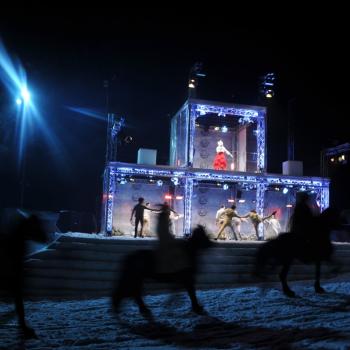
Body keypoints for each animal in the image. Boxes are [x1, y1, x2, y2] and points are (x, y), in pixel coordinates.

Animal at [0, 211, 47, 340]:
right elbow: (20, 306)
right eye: (36, 226)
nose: (46, 238)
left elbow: (19, 304)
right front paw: (25, 329)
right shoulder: (14, 281)